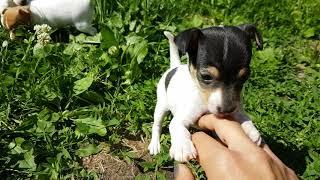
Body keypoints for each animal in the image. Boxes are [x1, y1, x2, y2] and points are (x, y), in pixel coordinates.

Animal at [149, 24, 264, 162]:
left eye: (245, 77)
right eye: (206, 76)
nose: (226, 110)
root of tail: (174, 67)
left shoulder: (236, 108)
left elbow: (243, 117)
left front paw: (252, 131)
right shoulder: (181, 118)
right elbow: (177, 127)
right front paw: (183, 147)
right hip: (161, 106)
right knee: (156, 125)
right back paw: (155, 144)